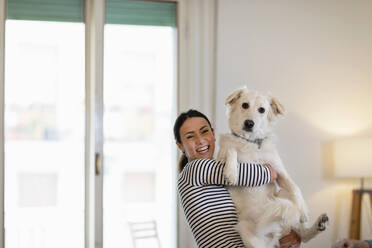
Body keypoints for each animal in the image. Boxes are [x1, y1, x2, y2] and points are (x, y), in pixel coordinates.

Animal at [218, 86, 328, 246]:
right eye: (245, 105)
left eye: (261, 110)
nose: (249, 123)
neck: (252, 143)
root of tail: (274, 232)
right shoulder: (220, 158)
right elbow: (231, 149)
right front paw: (231, 173)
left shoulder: (279, 171)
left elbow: (296, 188)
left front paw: (303, 211)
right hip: (245, 231)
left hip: (282, 194)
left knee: (303, 234)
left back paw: (319, 224)